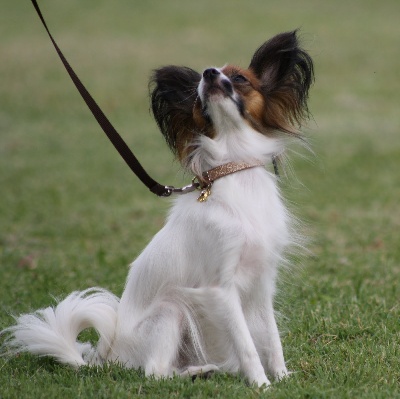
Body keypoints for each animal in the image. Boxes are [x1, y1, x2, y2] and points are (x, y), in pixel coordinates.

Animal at [1, 30, 314, 388]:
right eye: (197, 94)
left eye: (239, 78)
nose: (208, 74)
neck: (235, 171)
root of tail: (105, 361)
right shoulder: (220, 289)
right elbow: (247, 345)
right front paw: (261, 385)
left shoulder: (261, 284)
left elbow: (271, 339)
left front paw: (283, 378)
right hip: (171, 310)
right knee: (154, 372)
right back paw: (195, 372)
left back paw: (202, 370)